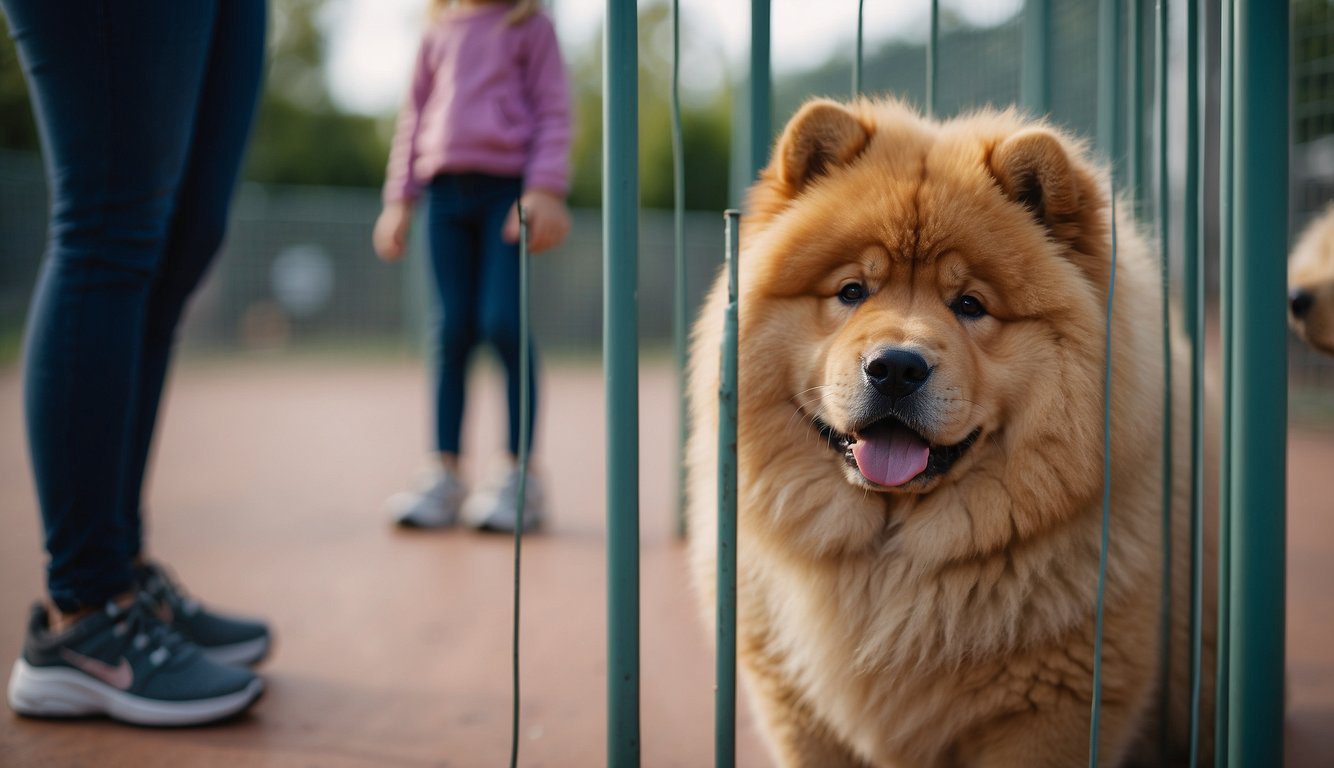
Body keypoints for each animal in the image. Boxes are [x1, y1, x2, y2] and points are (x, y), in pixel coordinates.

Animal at [693, 97, 1216, 768]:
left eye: (970, 305)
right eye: (851, 291)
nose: (896, 367)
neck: (888, 571)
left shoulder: (1053, 711)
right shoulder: (798, 711)